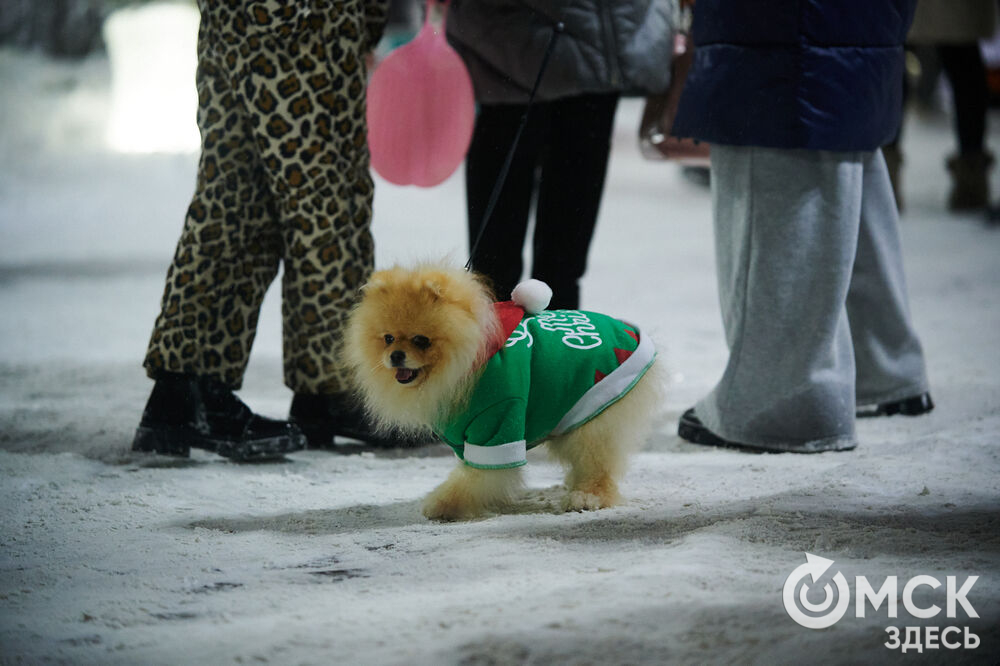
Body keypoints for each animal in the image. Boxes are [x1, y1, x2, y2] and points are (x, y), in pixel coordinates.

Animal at [344, 264, 664, 520]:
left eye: (421, 340)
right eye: (388, 338)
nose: (395, 356)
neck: (465, 363)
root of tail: (632, 333)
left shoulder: (497, 421)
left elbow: (477, 477)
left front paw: (444, 504)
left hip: (594, 413)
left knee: (598, 465)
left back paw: (587, 496)